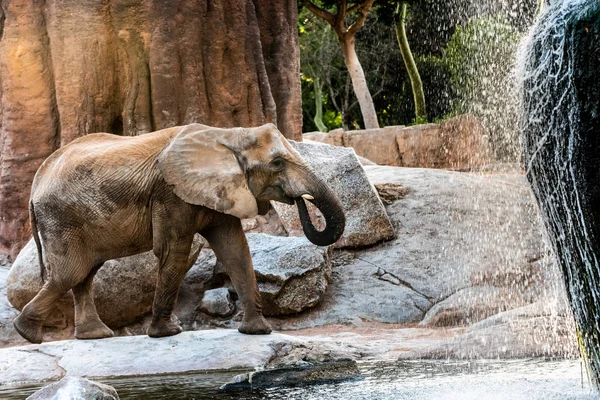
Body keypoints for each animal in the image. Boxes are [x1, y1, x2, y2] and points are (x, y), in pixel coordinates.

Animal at [14, 122, 344, 344]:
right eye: (277, 163)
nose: (301, 200)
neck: (229, 135)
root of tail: (36, 182)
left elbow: (235, 250)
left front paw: (258, 331)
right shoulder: (170, 194)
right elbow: (174, 251)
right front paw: (168, 333)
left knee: (85, 273)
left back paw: (95, 336)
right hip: (61, 218)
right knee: (70, 273)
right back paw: (27, 334)